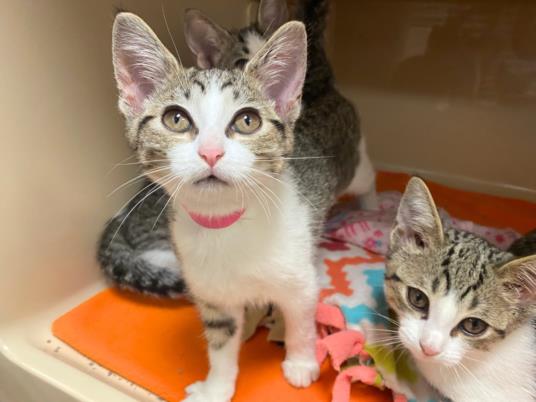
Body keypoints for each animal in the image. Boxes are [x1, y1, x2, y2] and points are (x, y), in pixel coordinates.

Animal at [111, 11, 362, 400]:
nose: (211, 152)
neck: (226, 226)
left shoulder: (300, 281)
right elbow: (221, 342)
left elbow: (301, 321)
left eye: (248, 120)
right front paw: (217, 386)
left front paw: (301, 362)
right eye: (175, 118)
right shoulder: (214, 296)